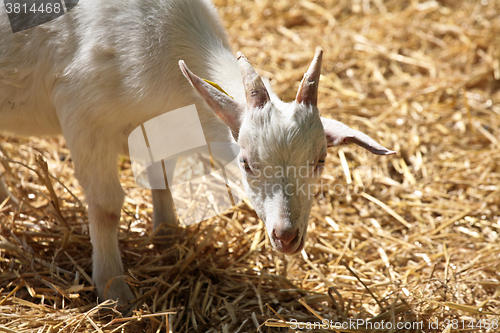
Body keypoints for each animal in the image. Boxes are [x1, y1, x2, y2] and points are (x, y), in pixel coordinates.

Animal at [0, 0, 394, 304]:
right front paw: (115, 291)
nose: (286, 236)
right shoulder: (82, 115)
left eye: (320, 160)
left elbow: (161, 176)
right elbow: (106, 206)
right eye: (246, 163)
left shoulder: (159, 127)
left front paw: (167, 235)